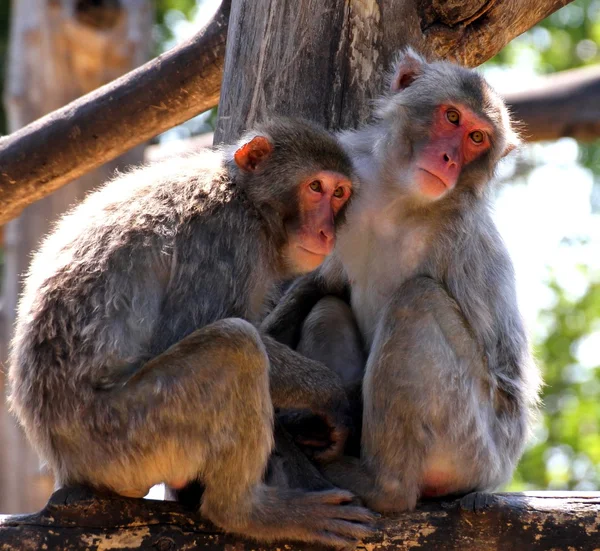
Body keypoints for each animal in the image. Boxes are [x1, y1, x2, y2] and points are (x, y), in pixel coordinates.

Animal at [264, 49, 540, 512]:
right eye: (452, 117)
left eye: (477, 138)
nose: (449, 159)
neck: (400, 199)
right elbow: (323, 285)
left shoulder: (461, 235)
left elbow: (506, 369)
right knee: (328, 309)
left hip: (473, 446)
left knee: (418, 300)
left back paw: (379, 484)